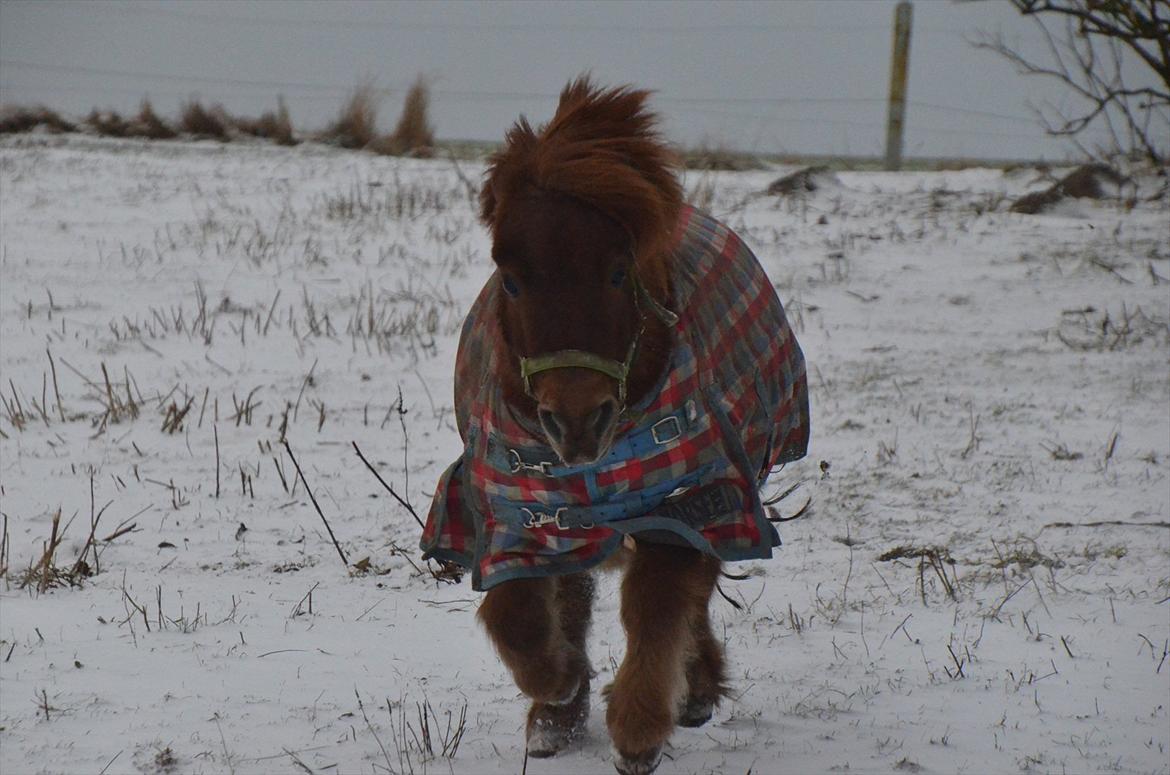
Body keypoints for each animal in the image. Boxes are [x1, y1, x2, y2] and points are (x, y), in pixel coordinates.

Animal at [423, 77, 814, 775]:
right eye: (511, 279)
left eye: (616, 270)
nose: (578, 420)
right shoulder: (513, 503)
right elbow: (514, 606)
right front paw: (557, 687)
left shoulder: (690, 495)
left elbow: (656, 604)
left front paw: (638, 728)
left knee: (694, 591)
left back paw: (696, 690)